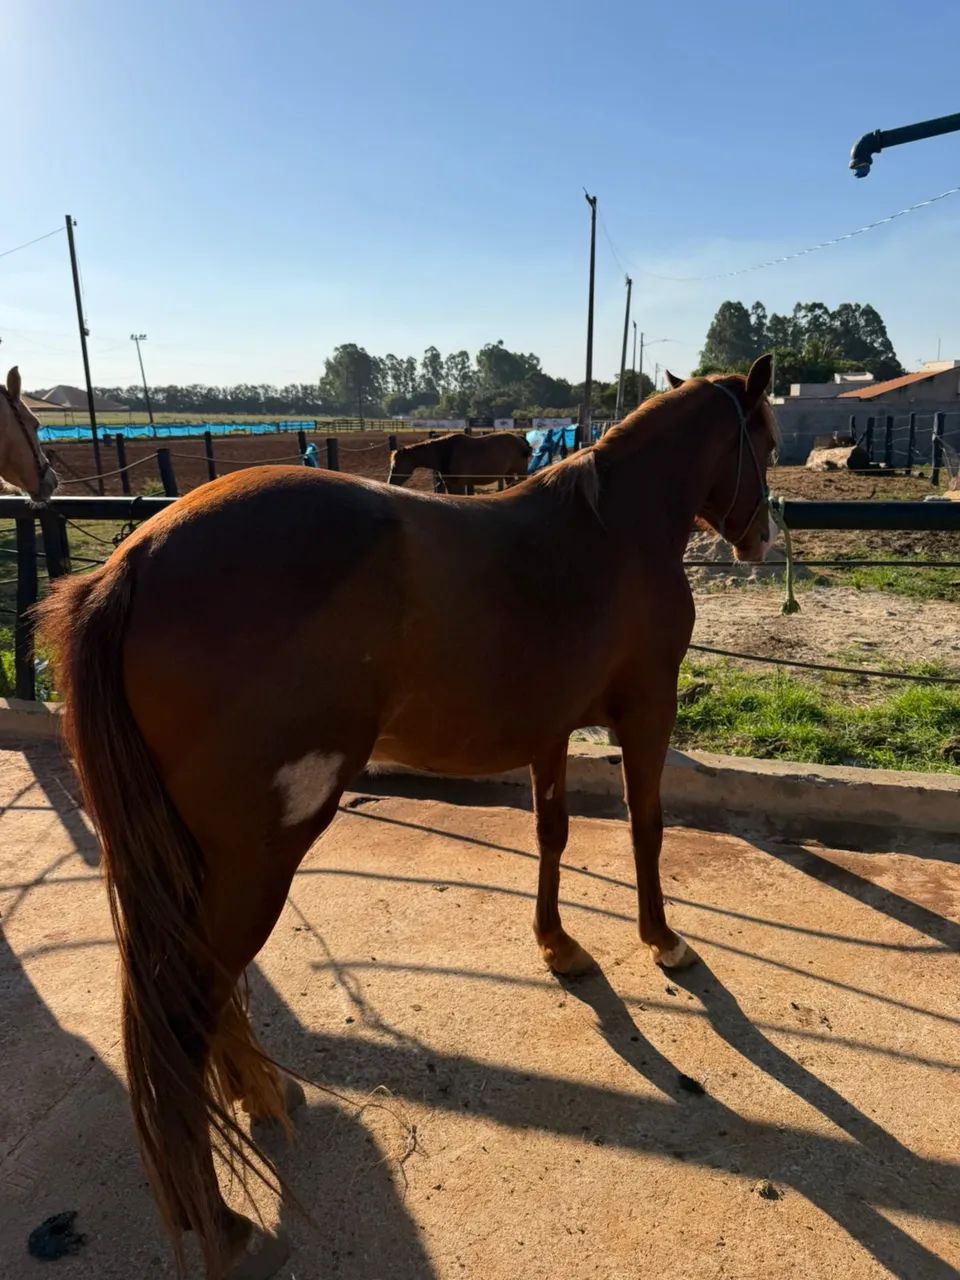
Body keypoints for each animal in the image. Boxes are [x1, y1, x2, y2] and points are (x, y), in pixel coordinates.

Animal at [387, 430, 532, 493]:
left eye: (396, 466)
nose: (390, 484)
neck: (446, 453)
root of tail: (519, 438)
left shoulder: (459, 485)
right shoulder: (449, 484)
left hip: (521, 472)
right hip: (509, 473)